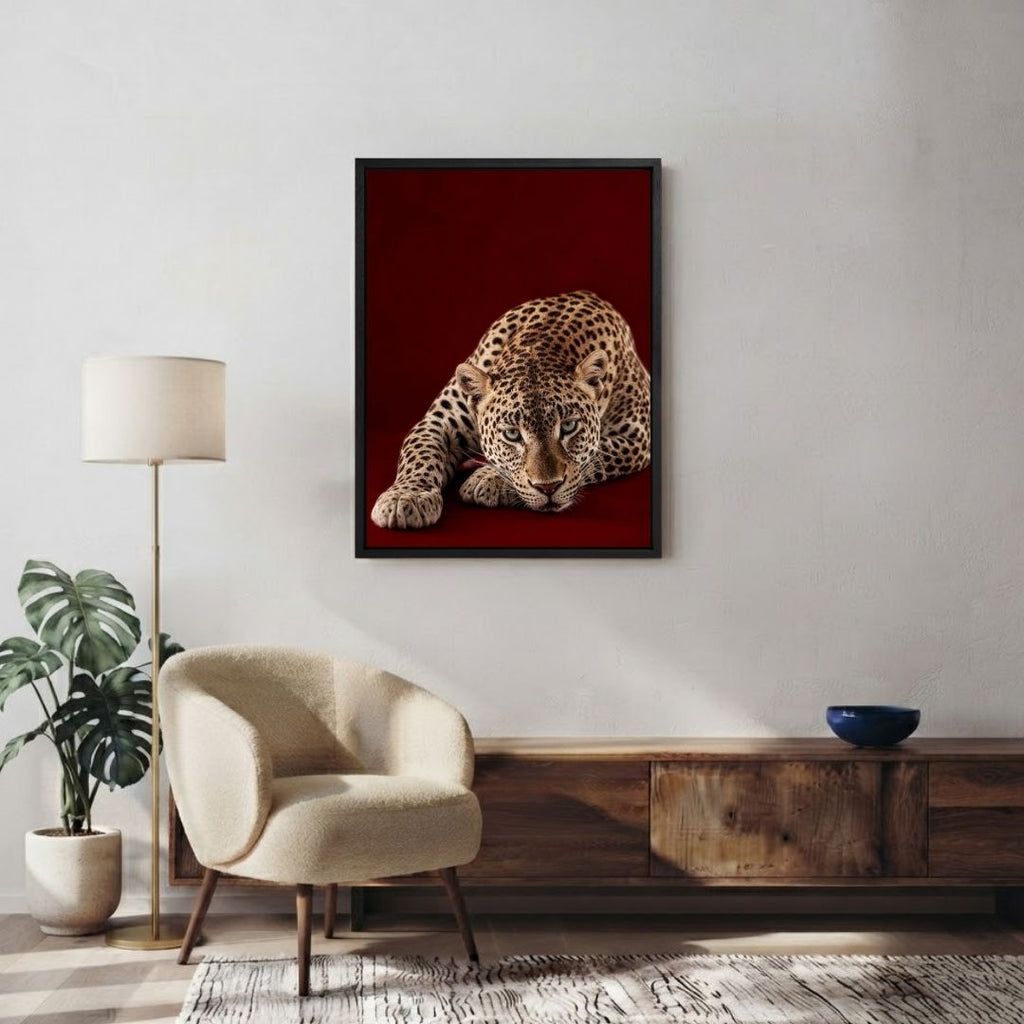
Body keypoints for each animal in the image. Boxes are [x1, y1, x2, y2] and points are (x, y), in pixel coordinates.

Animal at [371, 289, 651, 530]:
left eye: (569, 427)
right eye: (512, 434)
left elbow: (596, 455)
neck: (540, 347)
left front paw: (487, 479)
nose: (548, 488)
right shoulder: (440, 422)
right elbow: (419, 453)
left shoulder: (638, 436)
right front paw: (405, 498)